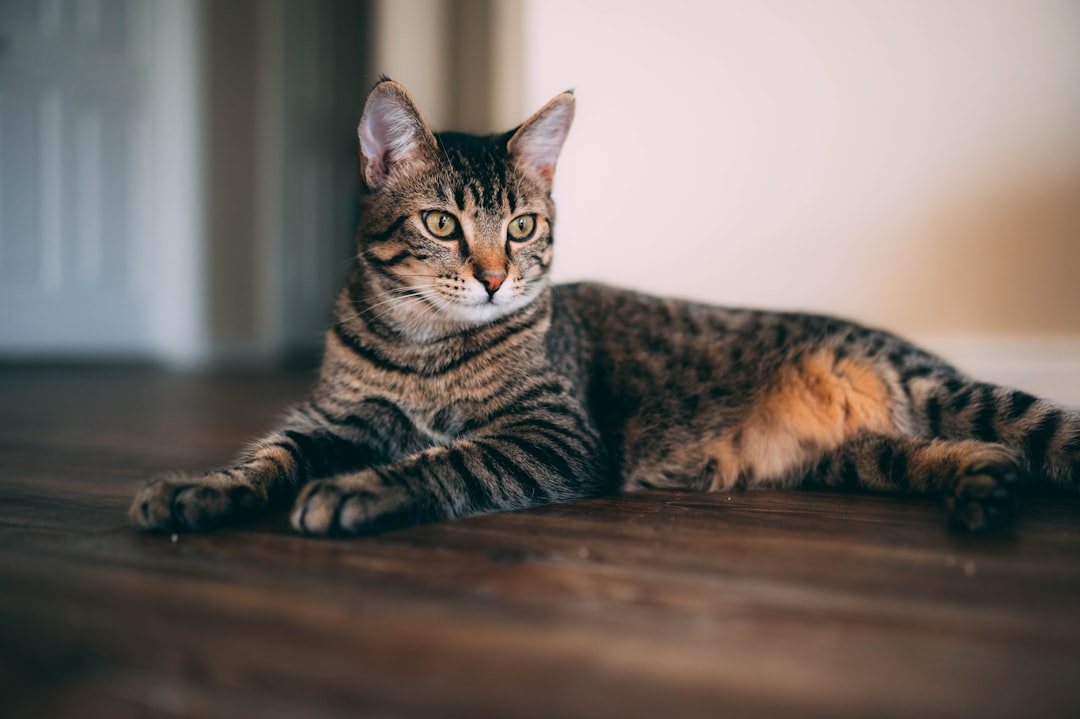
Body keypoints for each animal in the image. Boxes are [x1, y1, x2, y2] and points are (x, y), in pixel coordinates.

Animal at [132, 80, 1080, 535]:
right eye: (441, 223)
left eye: (521, 226)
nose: (492, 277)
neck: (424, 347)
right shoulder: (332, 418)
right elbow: (263, 457)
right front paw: (198, 491)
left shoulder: (553, 434)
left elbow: (445, 460)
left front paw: (360, 488)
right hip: (862, 457)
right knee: (980, 457)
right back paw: (982, 488)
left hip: (950, 393)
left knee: (1041, 436)